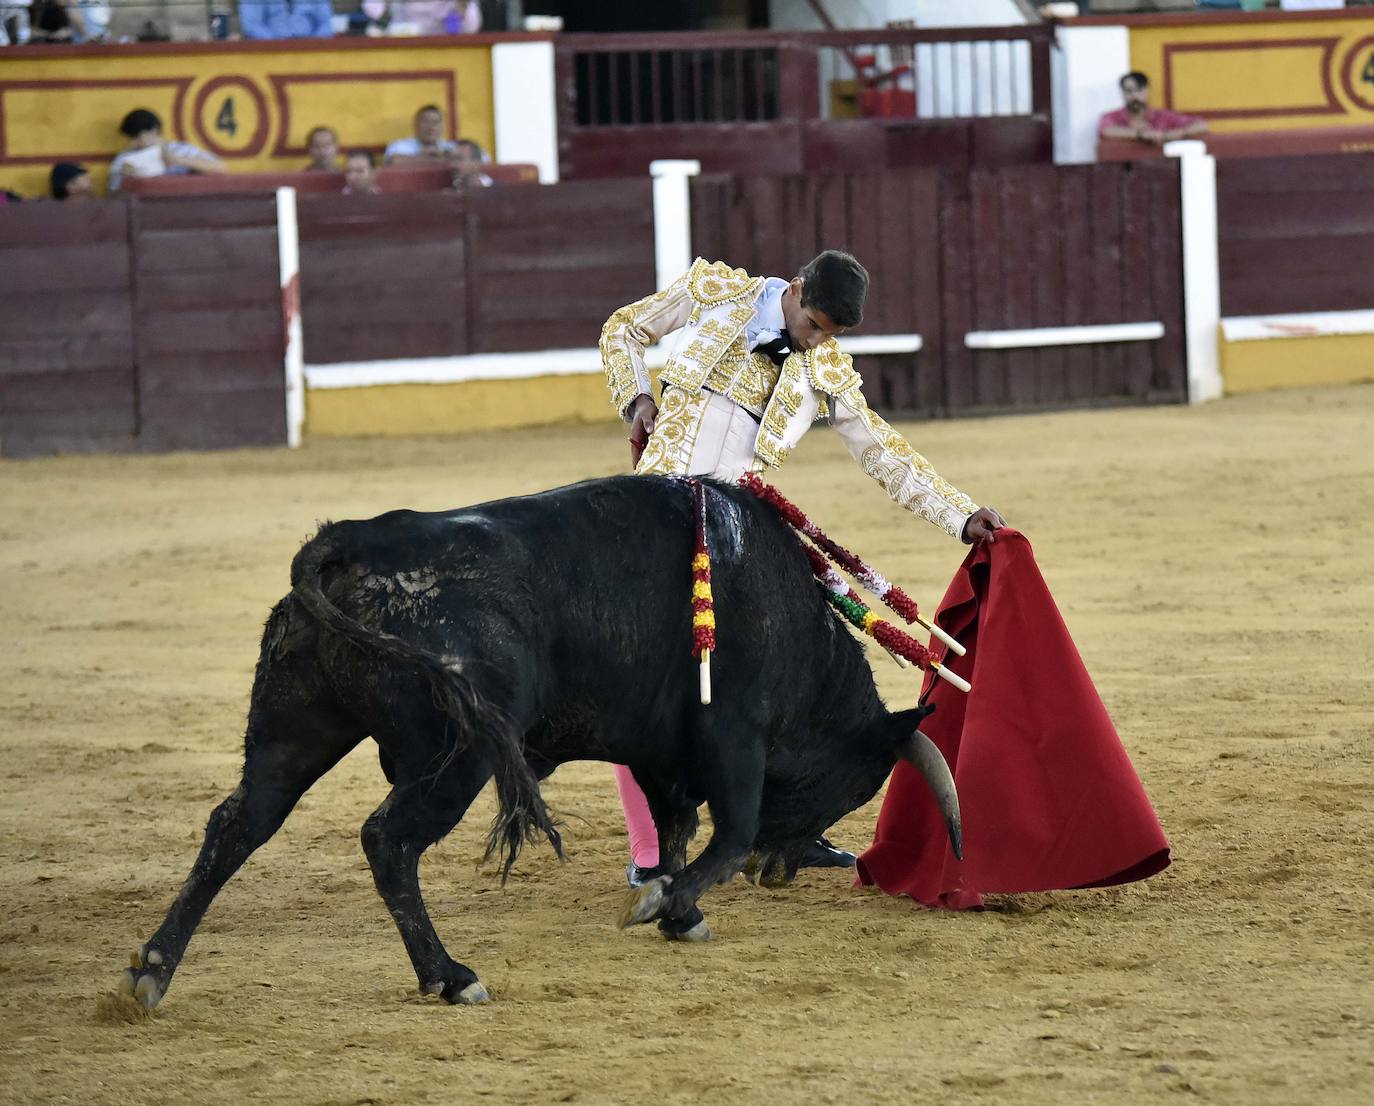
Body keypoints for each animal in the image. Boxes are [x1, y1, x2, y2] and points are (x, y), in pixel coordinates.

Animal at [118, 475, 961, 1011]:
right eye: (856, 786)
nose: (792, 866)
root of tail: (348, 544)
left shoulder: (656, 746)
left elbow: (677, 826)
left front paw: (673, 907)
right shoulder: (735, 734)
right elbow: (725, 834)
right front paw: (668, 905)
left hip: (295, 726)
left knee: (239, 822)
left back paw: (149, 973)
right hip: (456, 758)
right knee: (388, 839)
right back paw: (450, 977)